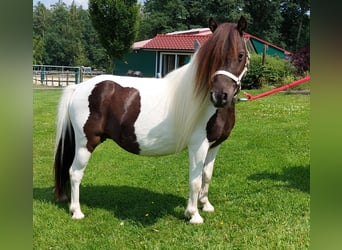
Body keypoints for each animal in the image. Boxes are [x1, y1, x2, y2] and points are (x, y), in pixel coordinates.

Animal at [54, 16, 250, 225]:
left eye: (240, 55)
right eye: (212, 57)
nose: (220, 96)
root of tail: (79, 87)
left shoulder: (214, 146)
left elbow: (207, 175)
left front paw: (206, 205)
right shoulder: (198, 145)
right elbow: (195, 180)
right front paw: (194, 215)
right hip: (86, 143)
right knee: (75, 173)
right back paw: (76, 211)